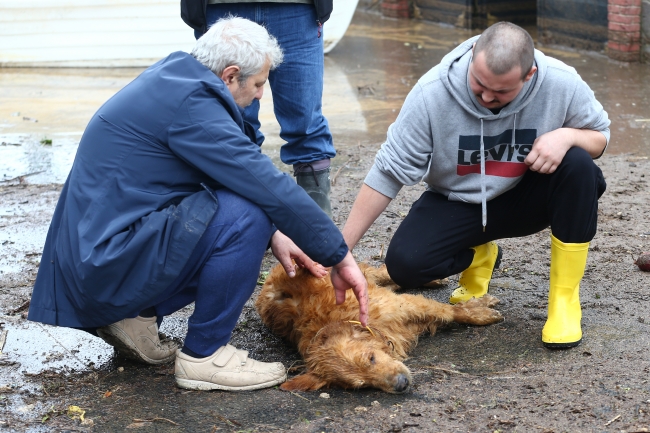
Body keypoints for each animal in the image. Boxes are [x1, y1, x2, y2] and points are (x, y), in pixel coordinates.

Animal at [253, 262, 502, 394]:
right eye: (363, 385)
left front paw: (479, 312)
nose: (401, 385)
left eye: (371, 358)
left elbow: (451, 312)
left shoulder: (406, 304)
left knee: (384, 271)